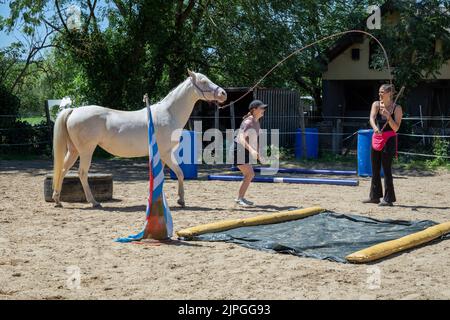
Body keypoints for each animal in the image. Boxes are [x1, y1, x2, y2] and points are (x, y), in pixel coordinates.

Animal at [52, 70, 227, 208]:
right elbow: (179, 173)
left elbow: (164, 175)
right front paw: (180, 200)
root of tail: (73, 110)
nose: (223, 93)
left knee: (63, 170)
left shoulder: (161, 155)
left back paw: (57, 200)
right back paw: (94, 202)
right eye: (203, 81)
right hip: (86, 151)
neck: (168, 113)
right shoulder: (165, 153)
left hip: (73, 151)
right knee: (82, 173)